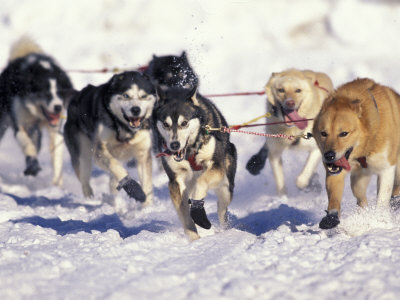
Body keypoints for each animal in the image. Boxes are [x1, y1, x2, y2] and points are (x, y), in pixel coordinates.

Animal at [0, 37, 75, 185]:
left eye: (61, 92)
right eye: (45, 93)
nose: (58, 107)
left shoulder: (55, 131)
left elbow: (56, 159)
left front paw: (57, 185)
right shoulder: (20, 125)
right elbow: (28, 145)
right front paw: (32, 165)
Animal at [64, 71, 156, 205]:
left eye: (143, 96)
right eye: (125, 95)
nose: (135, 109)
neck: (125, 129)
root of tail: (76, 96)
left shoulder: (143, 154)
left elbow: (147, 184)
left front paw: (147, 207)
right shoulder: (99, 151)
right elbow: (115, 166)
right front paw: (133, 188)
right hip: (82, 157)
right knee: (85, 182)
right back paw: (91, 200)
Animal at [154, 86, 236, 239]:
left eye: (184, 123)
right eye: (166, 124)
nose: (174, 145)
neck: (189, 151)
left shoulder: (216, 166)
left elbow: (201, 183)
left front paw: (198, 212)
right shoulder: (175, 181)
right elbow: (185, 215)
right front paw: (194, 239)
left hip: (226, 187)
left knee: (221, 208)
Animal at [312, 78, 400, 229]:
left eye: (344, 133)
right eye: (323, 133)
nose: (329, 156)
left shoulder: (387, 168)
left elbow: (382, 199)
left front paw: (380, 219)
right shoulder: (336, 170)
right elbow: (334, 194)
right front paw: (331, 216)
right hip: (357, 181)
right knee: (361, 198)